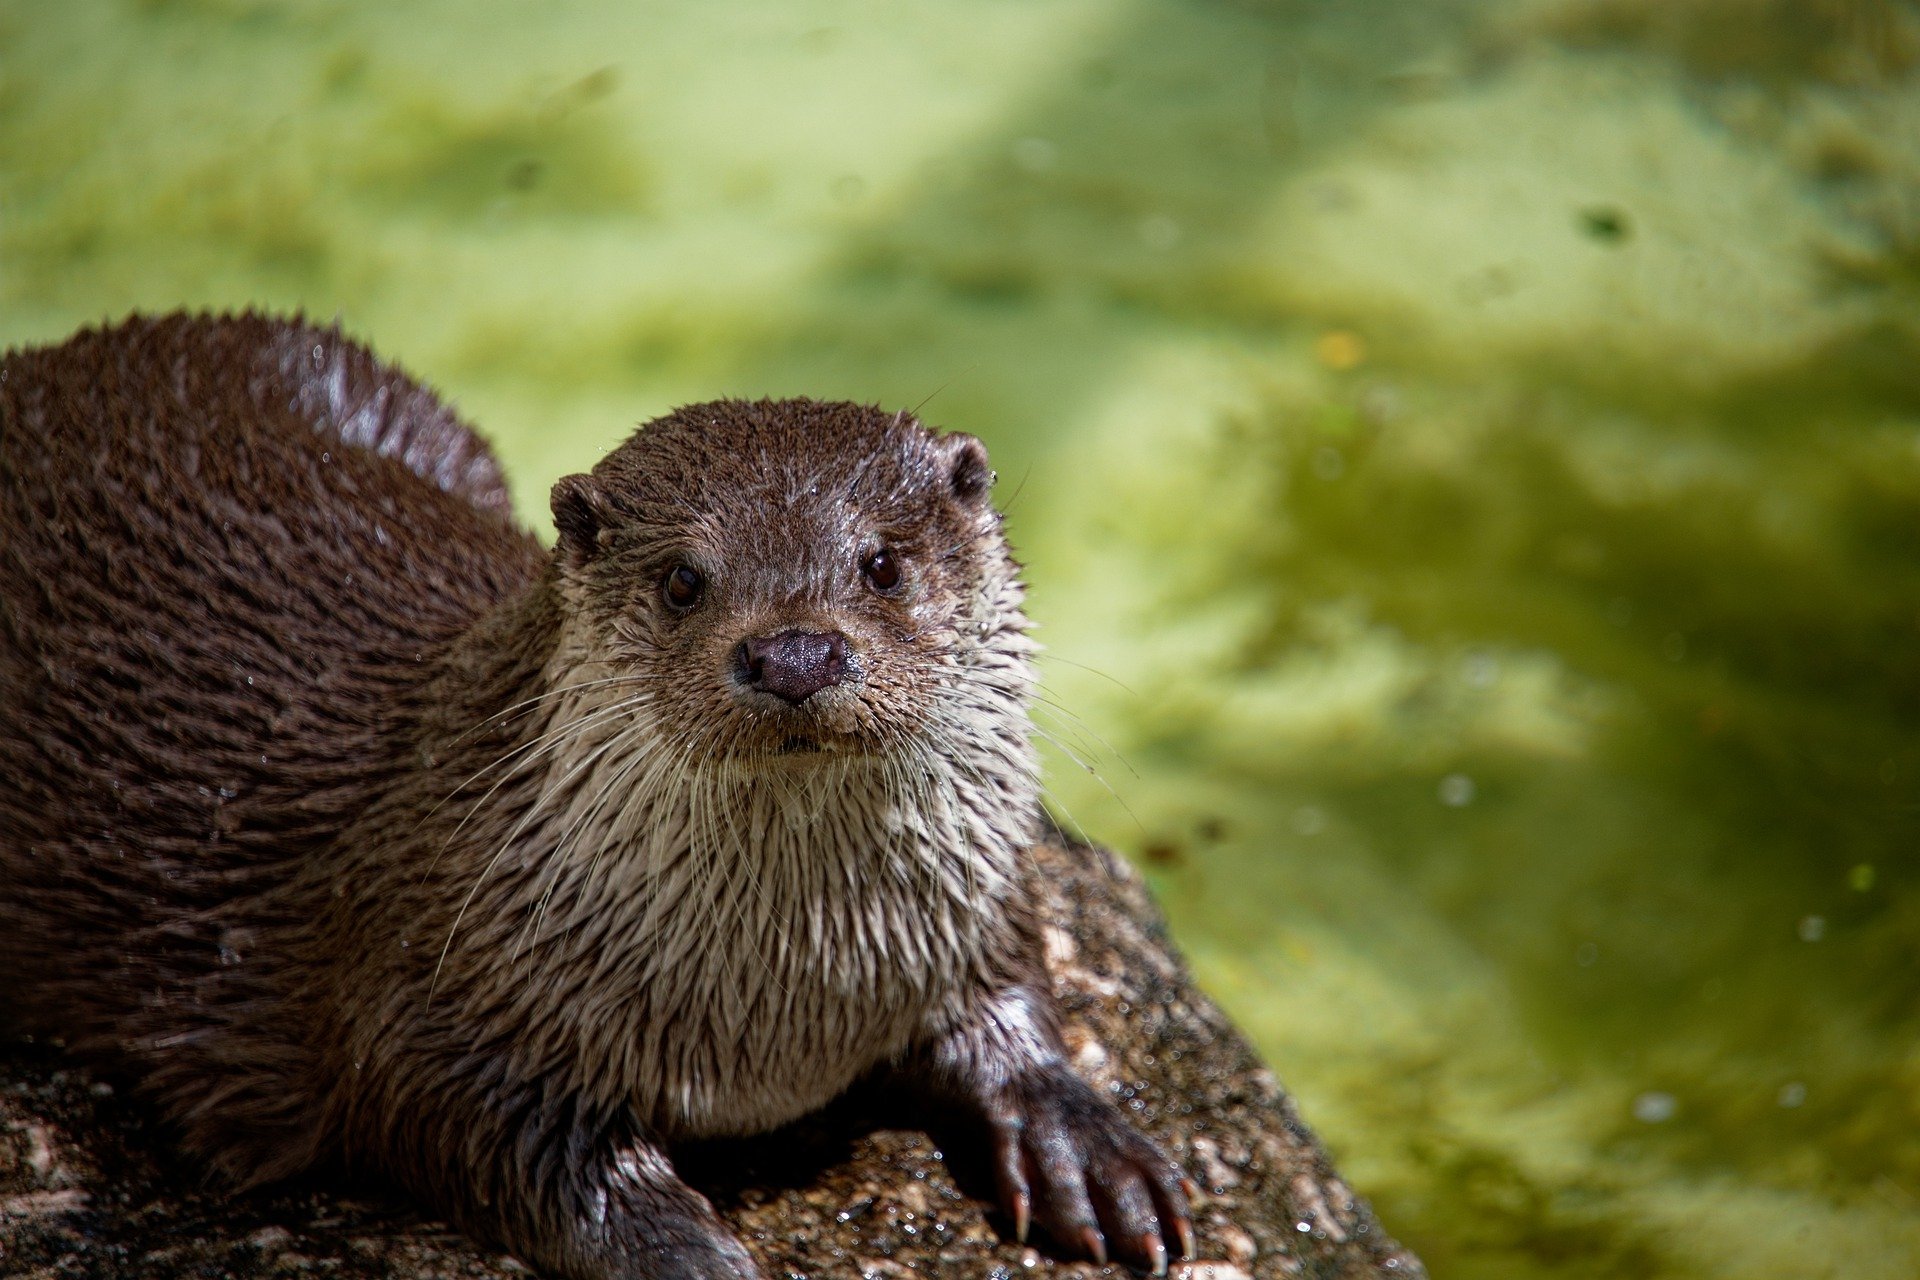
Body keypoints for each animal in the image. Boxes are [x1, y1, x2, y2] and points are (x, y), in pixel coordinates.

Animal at [0, 314, 1192, 1280]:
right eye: (683, 579)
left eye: (884, 564)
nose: (796, 653)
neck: (784, 1004)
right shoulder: (430, 979)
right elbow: (496, 1134)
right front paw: (694, 1253)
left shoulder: (970, 901)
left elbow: (1014, 986)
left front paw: (1086, 1140)